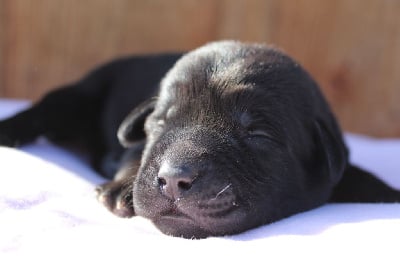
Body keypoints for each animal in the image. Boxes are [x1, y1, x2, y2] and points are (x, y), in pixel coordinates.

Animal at [0, 40, 400, 238]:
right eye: (161, 122)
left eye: (257, 133)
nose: (174, 180)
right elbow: (134, 154)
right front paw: (121, 188)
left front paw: (384, 191)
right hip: (83, 92)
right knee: (45, 108)